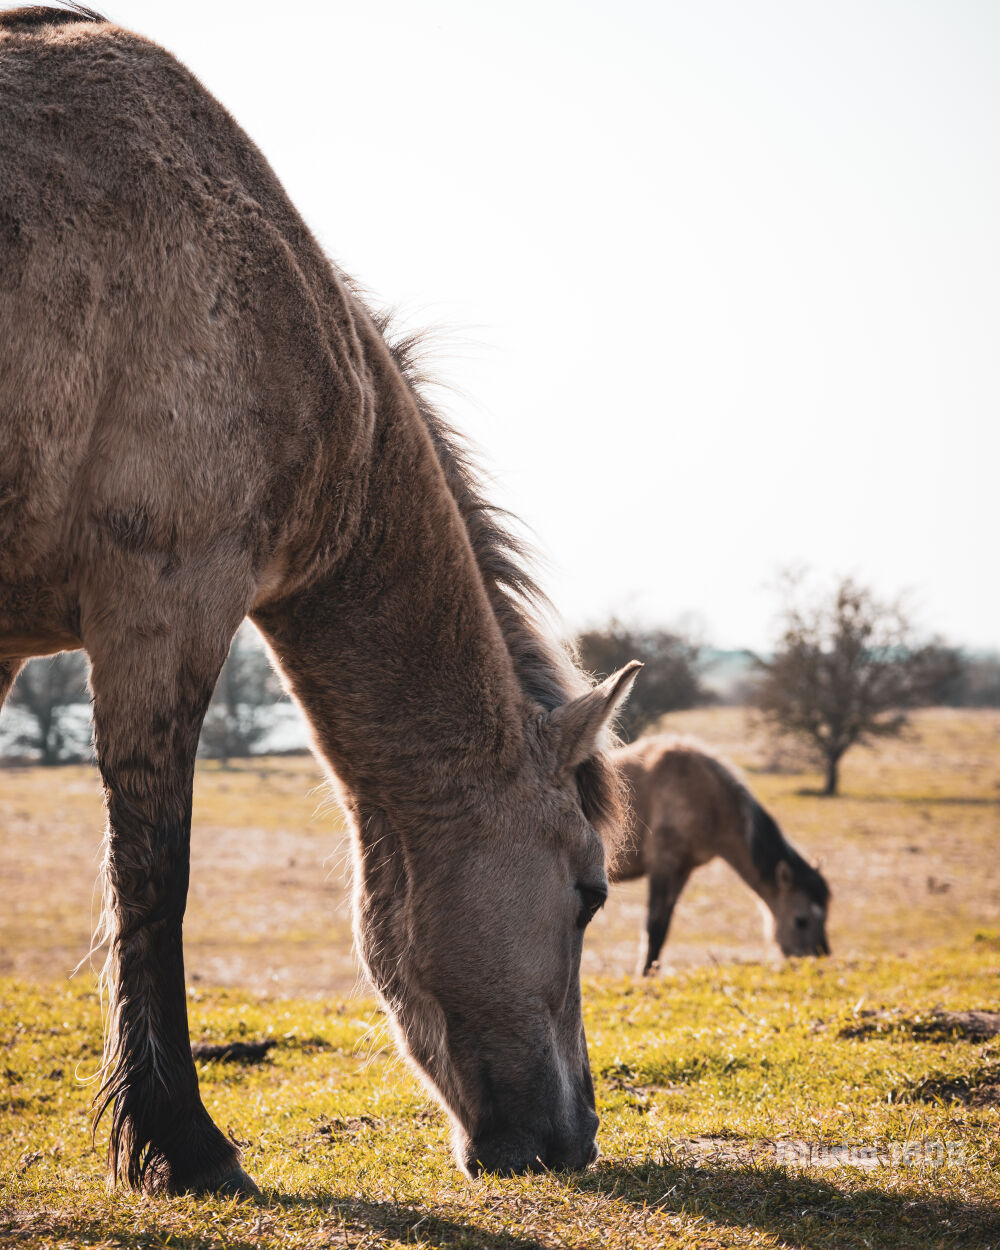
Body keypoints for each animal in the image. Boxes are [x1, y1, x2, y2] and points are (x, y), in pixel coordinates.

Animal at [610, 730, 830, 975]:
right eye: (801, 921)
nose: (818, 958)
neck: (707, 796)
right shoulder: (663, 865)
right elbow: (655, 925)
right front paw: (645, 973)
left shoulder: (683, 870)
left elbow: (664, 926)